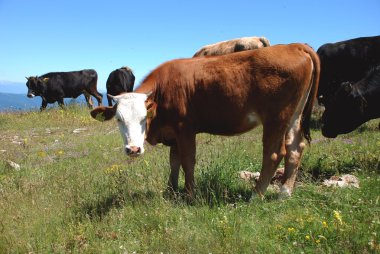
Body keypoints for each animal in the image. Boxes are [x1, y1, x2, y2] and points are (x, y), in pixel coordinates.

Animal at [92, 42, 320, 199]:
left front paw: (190, 194)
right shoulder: (174, 134)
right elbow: (174, 162)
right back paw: (284, 193)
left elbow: (187, 161)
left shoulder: (185, 129)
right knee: (295, 148)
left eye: (143, 118)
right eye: (119, 119)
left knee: (273, 154)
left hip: (276, 118)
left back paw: (256, 195)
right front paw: (171, 191)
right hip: (294, 116)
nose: (133, 149)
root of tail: (294, 46)